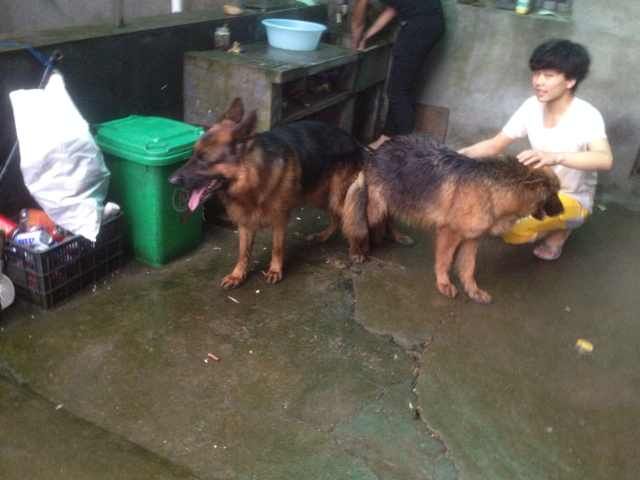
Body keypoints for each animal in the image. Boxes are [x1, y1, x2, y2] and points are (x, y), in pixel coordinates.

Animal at [169, 98, 369, 288]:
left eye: (204, 160)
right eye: (193, 155)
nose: (171, 180)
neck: (254, 178)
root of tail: (352, 140)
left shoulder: (279, 219)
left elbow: (277, 247)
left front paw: (275, 270)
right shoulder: (245, 223)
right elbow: (243, 252)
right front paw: (237, 275)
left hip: (337, 196)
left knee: (352, 217)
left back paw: (357, 250)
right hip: (319, 195)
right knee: (336, 217)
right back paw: (324, 236)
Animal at [348, 134, 564, 304]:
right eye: (554, 193)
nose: (563, 211)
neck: (494, 189)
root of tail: (378, 149)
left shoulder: (472, 239)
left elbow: (468, 267)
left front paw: (473, 291)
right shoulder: (449, 233)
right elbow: (444, 261)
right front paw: (443, 284)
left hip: (393, 202)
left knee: (388, 219)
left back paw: (397, 236)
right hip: (376, 208)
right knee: (359, 223)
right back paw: (357, 250)